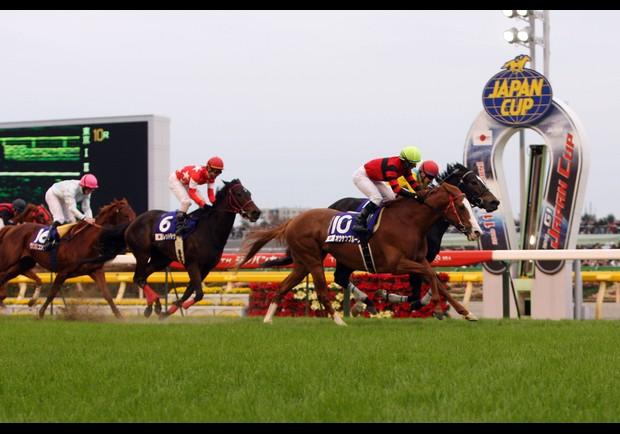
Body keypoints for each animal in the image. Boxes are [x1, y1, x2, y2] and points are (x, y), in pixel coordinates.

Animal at [0, 199, 136, 318]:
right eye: (126, 215)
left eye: (133, 214)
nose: (133, 229)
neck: (86, 241)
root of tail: (10, 229)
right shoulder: (63, 272)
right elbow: (52, 293)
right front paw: (41, 313)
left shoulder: (95, 271)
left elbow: (107, 295)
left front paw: (119, 316)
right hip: (8, 260)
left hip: (23, 263)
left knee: (4, 277)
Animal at [121, 179, 261, 318]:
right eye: (239, 194)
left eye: (249, 193)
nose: (256, 212)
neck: (210, 230)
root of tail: (133, 222)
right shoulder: (192, 263)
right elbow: (198, 293)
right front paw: (181, 306)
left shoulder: (207, 267)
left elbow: (190, 291)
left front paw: (169, 311)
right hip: (143, 254)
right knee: (138, 278)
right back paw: (154, 303)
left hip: (160, 260)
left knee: (142, 278)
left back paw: (153, 306)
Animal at [238, 182, 476, 325]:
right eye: (461, 207)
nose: (476, 231)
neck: (409, 222)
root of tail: (292, 220)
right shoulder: (396, 264)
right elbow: (429, 275)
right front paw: (436, 307)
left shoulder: (418, 259)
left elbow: (435, 277)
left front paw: (467, 313)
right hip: (312, 260)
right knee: (322, 291)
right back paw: (341, 321)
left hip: (303, 263)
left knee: (283, 287)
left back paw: (268, 319)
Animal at [262, 162, 500, 317]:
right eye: (473, 181)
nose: (494, 202)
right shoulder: (403, 263)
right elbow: (424, 284)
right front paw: (397, 298)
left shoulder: (422, 259)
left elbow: (433, 282)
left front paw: (464, 312)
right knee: (340, 278)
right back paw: (365, 303)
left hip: (345, 257)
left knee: (340, 277)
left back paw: (366, 303)